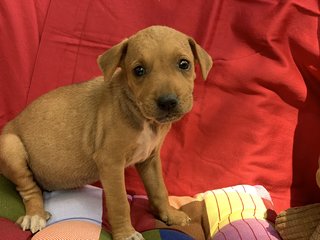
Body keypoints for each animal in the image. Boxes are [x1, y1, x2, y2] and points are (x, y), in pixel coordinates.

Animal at [0, 25, 212, 239]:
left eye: (184, 64)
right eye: (139, 70)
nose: (168, 102)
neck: (140, 115)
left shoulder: (150, 159)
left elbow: (159, 189)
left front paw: (169, 215)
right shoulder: (111, 162)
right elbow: (120, 202)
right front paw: (126, 233)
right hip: (10, 147)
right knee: (29, 188)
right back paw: (35, 215)